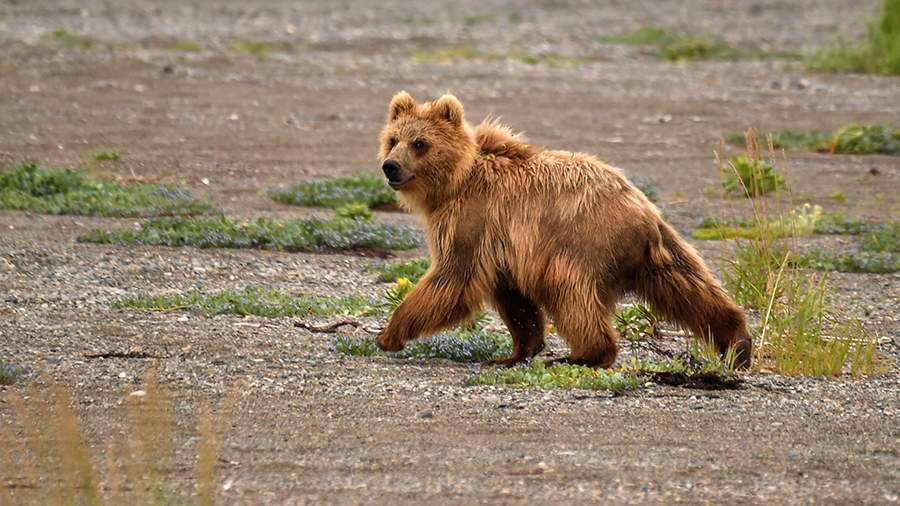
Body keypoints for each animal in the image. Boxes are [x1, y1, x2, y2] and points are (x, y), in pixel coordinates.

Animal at [372, 91, 752, 368]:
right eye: (393, 139)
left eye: (419, 143)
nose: (390, 167)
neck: (456, 180)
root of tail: (642, 211)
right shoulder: (503, 246)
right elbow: (515, 301)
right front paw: (515, 352)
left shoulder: (472, 220)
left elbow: (452, 277)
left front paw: (389, 333)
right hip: (661, 252)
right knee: (690, 287)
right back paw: (737, 342)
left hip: (582, 241)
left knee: (570, 293)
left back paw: (583, 355)